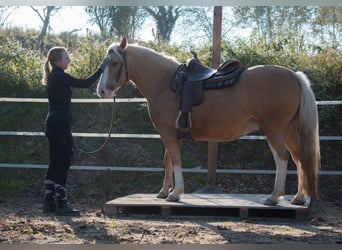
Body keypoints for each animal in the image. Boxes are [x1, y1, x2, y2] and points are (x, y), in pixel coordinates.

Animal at [96, 36, 320, 205]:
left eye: (115, 63)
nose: (102, 91)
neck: (165, 82)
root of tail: (295, 76)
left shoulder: (167, 132)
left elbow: (175, 160)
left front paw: (176, 193)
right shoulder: (169, 134)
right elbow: (167, 160)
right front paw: (164, 191)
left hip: (274, 131)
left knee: (282, 158)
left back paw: (274, 197)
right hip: (289, 132)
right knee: (299, 159)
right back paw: (299, 198)